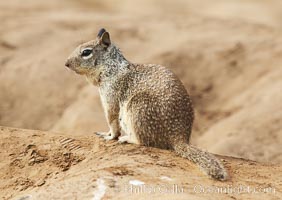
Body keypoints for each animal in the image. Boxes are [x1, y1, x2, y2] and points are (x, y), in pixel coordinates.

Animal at [65, 27, 228, 180]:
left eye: (86, 52)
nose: (66, 63)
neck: (112, 69)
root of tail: (179, 138)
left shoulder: (110, 99)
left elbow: (112, 122)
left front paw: (109, 136)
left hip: (138, 107)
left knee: (144, 141)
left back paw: (127, 139)